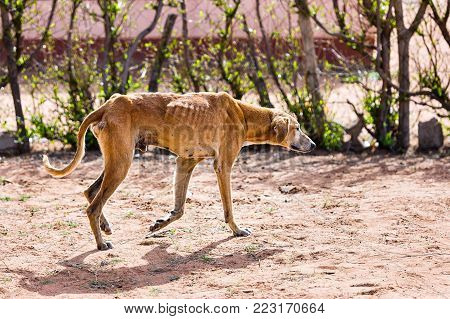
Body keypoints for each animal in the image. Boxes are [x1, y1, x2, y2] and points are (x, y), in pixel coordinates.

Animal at [43, 91, 316, 251]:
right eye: (298, 128)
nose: (313, 145)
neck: (242, 113)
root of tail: (109, 105)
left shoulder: (185, 163)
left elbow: (180, 209)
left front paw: (160, 223)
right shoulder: (222, 167)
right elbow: (228, 209)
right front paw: (237, 231)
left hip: (116, 162)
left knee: (90, 193)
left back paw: (105, 226)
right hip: (121, 164)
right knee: (93, 206)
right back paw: (101, 243)